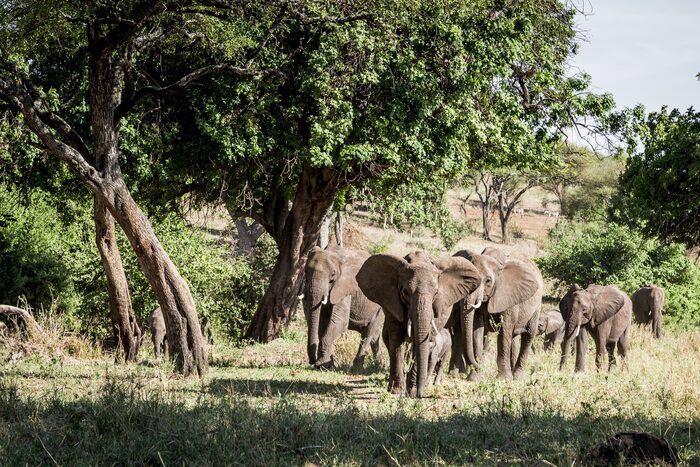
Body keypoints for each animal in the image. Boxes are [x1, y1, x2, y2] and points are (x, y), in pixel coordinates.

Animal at [357, 250, 481, 398]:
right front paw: (397, 391)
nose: (421, 395)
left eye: (436, 293)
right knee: (388, 340)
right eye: (405, 292)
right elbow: (396, 340)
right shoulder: (392, 302)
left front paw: (412, 392)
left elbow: (420, 344)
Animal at [454, 247, 544, 381]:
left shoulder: (508, 297)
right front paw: (474, 378)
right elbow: (476, 331)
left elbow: (504, 331)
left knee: (529, 334)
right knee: (514, 337)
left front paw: (503, 379)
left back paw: (518, 378)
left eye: (488, 281)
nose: (480, 367)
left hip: (537, 306)